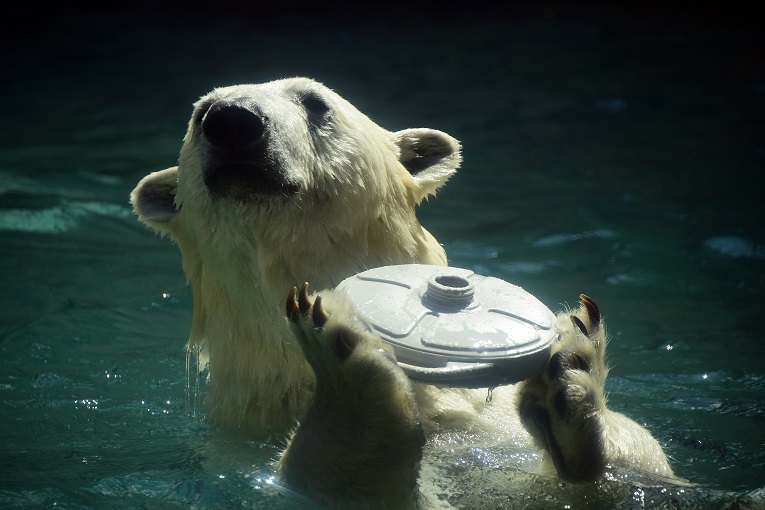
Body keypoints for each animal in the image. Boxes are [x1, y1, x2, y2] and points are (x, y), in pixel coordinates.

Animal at [131, 75, 676, 506]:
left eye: (315, 102)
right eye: (200, 112)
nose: (232, 121)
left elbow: (642, 461)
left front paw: (573, 369)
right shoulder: (240, 450)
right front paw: (346, 383)